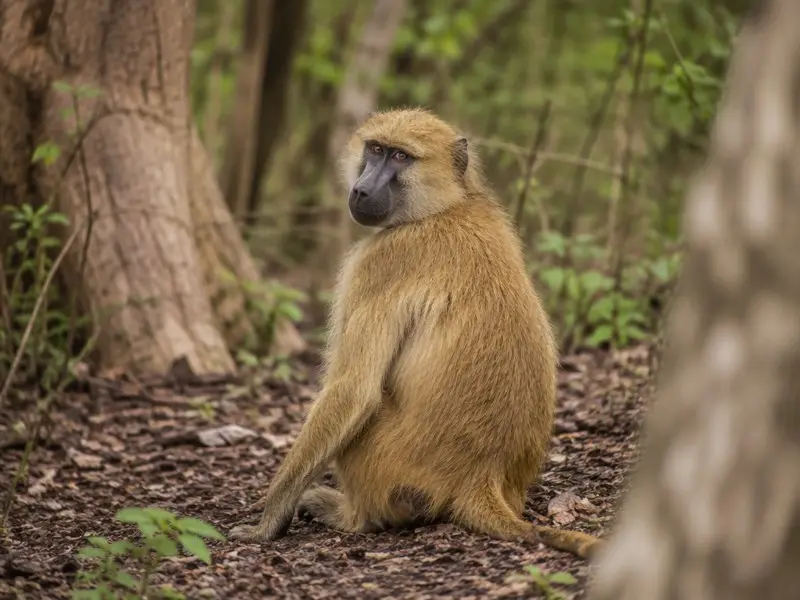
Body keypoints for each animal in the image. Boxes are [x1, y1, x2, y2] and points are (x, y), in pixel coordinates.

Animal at [229, 108, 603, 560]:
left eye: (401, 157)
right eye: (375, 149)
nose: (362, 189)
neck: (443, 207)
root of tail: (484, 473)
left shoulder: (378, 262)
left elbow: (353, 390)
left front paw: (267, 522)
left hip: (390, 465)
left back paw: (349, 516)